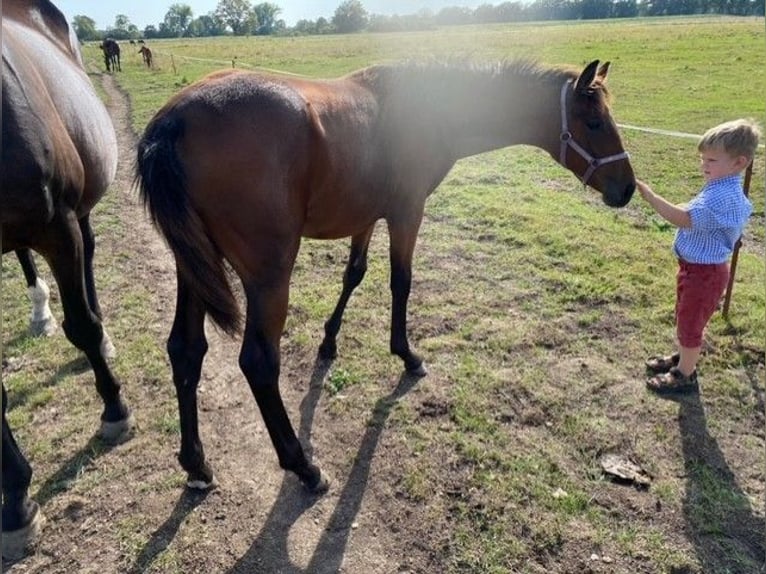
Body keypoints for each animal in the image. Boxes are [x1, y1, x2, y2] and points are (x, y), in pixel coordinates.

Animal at [136, 60, 636, 498]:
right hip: (268, 274)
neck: (424, 109)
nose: (628, 188)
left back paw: (197, 464)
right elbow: (401, 282)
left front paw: (329, 342)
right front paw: (407, 354)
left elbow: (353, 276)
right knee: (259, 363)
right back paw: (304, 467)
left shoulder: (366, 217)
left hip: (194, 267)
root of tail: (175, 120)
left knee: (185, 350)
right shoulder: (406, 213)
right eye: (594, 122)